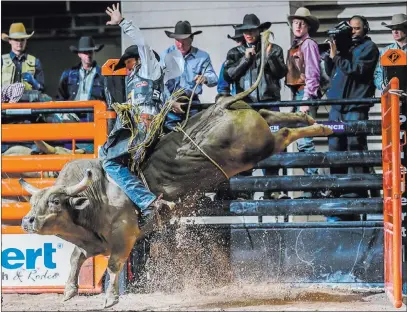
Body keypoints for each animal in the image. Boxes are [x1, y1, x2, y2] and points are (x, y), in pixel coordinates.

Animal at [19, 30, 334, 308]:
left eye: (55, 201)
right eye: (32, 202)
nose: (28, 221)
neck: (96, 199)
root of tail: (222, 106)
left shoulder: (123, 238)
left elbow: (113, 265)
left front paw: (110, 298)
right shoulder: (91, 244)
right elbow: (75, 258)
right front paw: (69, 291)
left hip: (257, 149)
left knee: (284, 135)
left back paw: (321, 127)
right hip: (256, 125)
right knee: (273, 114)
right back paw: (312, 120)